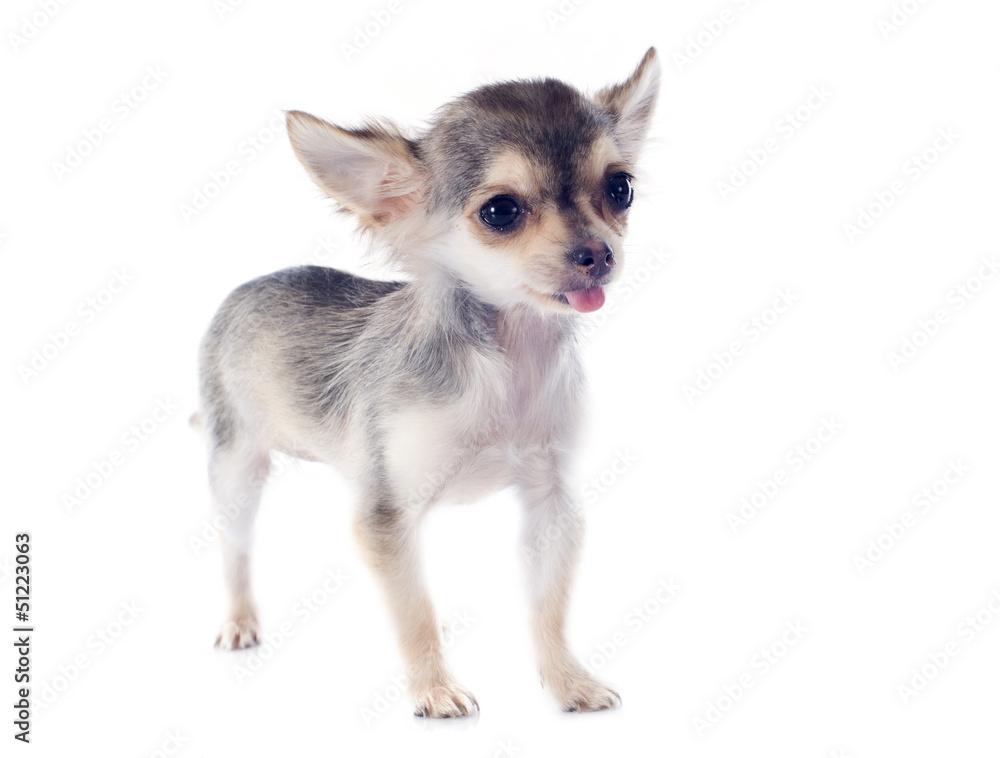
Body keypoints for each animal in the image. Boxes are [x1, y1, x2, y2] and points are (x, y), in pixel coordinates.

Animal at [197, 47, 659, 717]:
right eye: (501, 211)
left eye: (620, 188)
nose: (599, 254)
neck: (508, 366)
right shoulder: (386, 516)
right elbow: (416, 613)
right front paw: (435, 690)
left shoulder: (551, 503)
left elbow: (548, 609)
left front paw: (567, 681)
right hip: (236, 463)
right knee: (234, 547)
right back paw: (238, 621)